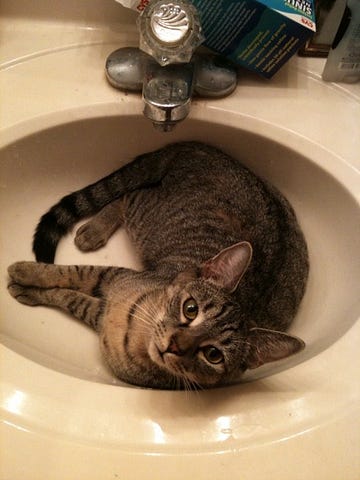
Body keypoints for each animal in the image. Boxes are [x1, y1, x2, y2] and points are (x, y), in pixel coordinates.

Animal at [7, 141, 308, 388]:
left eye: (213, 355)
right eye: (190, 309)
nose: (175, 344)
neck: (136, 334)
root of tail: (193, 146)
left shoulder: (99, 312)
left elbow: (69, 297)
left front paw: (27, 289)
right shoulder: (113, 276)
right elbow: (70, 273)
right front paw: (26, 271)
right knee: (125, 196)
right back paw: (94, 230)